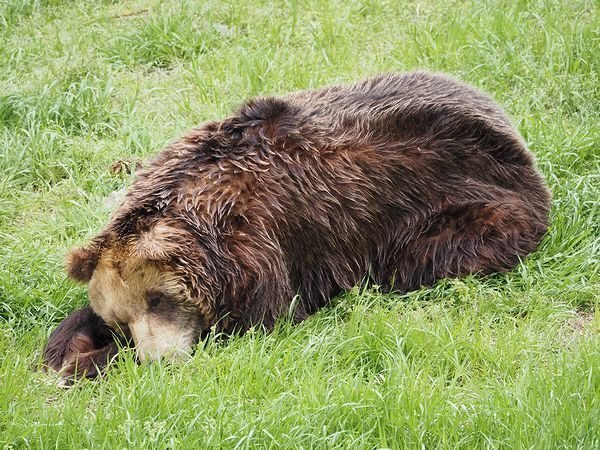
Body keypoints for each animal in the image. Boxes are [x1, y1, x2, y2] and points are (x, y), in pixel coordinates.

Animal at [42, 71, 552, 380]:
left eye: (159, 298)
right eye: (121, 318)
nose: (159, 359)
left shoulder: (266, 246)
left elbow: (249, 322)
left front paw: (89, 361)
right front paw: (69, 347)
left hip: (463, 198)